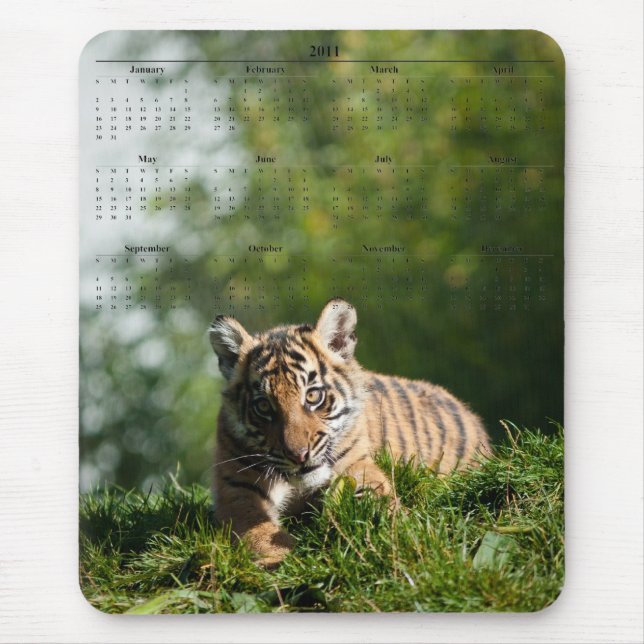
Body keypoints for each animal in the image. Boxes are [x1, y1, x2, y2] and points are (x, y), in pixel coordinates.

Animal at [208, 298, 490, 567]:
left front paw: (399, 529)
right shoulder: (237, 488)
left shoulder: (356, 463)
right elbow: (258, 528)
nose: (299, 455)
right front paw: (281, 559)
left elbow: (379, 496)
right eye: (264, 406)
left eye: (313, 396)